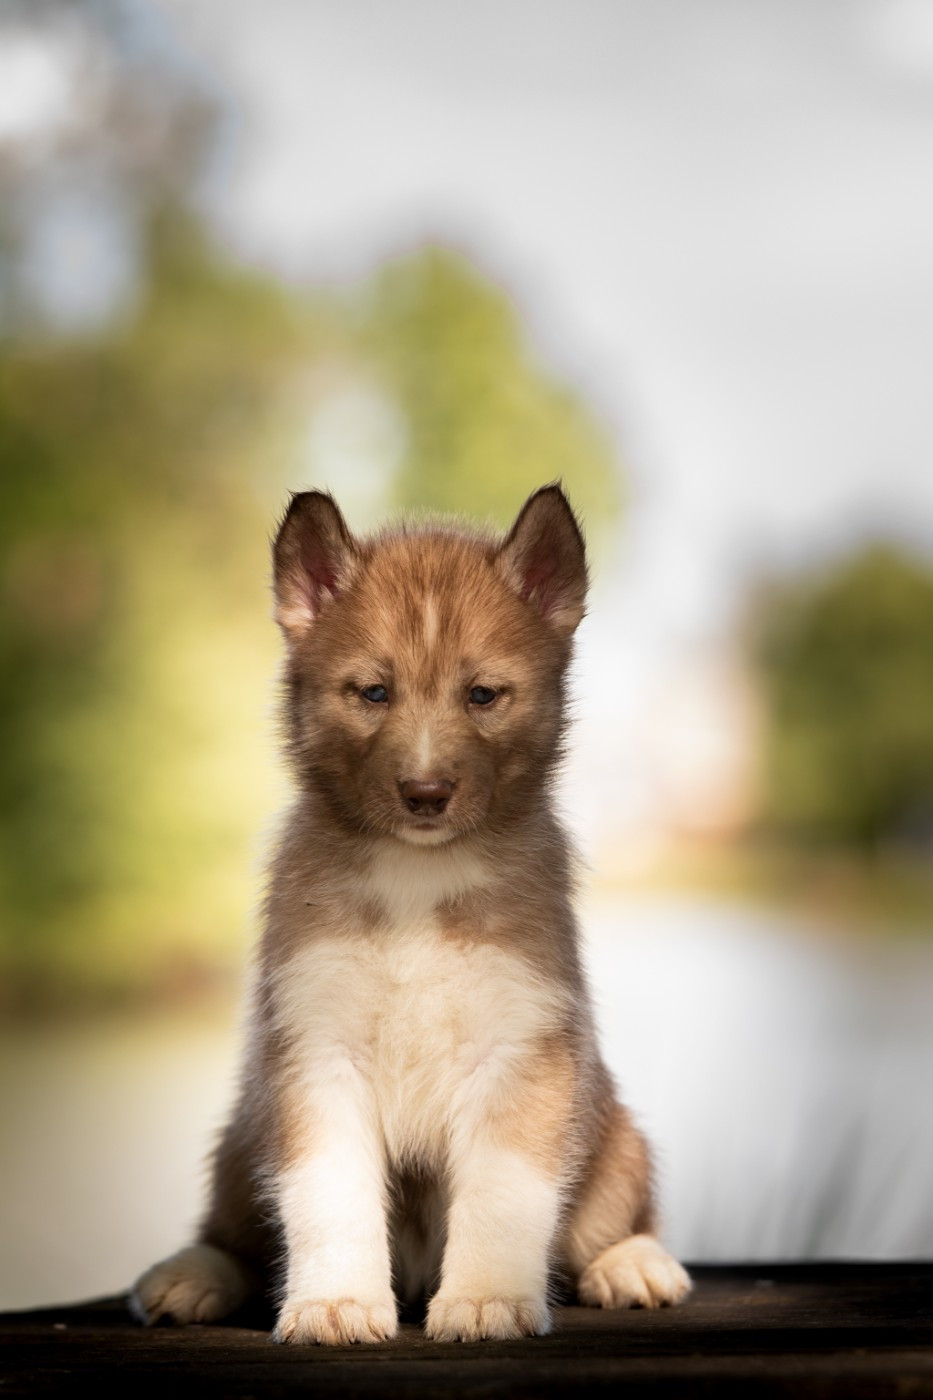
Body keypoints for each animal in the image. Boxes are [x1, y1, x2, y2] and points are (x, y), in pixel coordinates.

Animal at [131, 484, 690, 1343]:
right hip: (238, 1138)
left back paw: (632, 1261)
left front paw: (487, 1300)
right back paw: (190, 1273)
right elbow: (328, 1197)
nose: (425, 793)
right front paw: (334, 1303)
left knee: (610, 1214)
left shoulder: (522, 1050)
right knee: (234, 1237)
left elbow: (502, 1196)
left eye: (481, 694)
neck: (417, 882)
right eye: (373, 692)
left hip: (614, 1137)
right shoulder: (315, 1049)